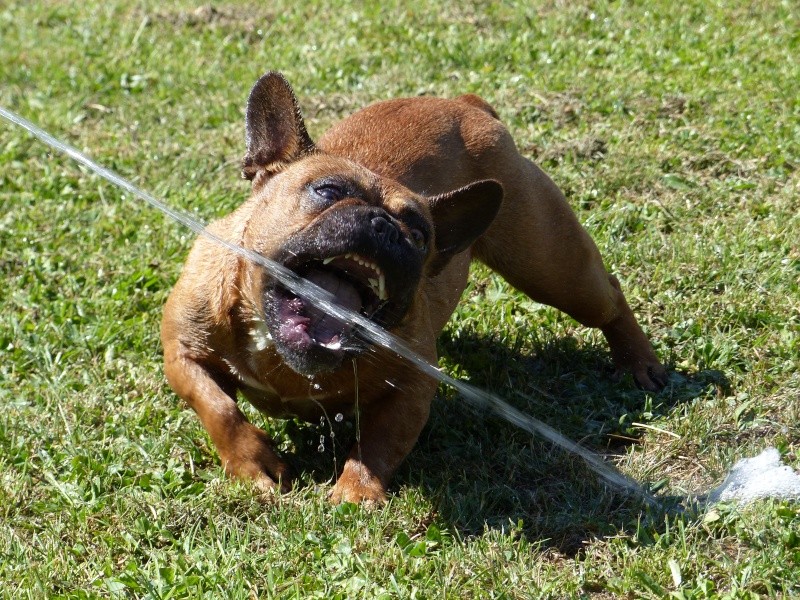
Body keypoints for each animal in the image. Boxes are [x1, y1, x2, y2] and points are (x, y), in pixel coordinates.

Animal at [159, 72, 664, 504]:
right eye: (327, 191)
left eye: (420, 235)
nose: (386, 226)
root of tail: (465, 103)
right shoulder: (184, 351)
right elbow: (218, 408)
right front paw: (254, 466)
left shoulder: (413, 384)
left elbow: (381, 440)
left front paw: (356, 493)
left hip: (548, 265)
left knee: (608, 297)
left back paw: (639, 363)